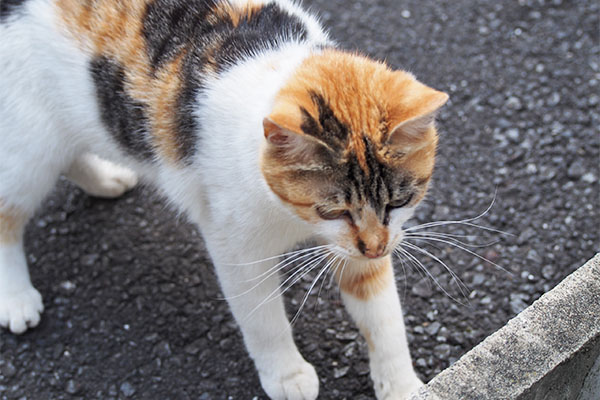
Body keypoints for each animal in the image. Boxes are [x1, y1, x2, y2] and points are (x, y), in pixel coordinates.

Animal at [0, 0, 448, 398]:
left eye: (398, 202)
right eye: (334, 209)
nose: (375, 247)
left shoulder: (362, 247)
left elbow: (384, 317)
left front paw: (403, 387)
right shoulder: (237, 249)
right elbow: (263, 318)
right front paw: (286, 374)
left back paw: (105, 178)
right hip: (28, 148)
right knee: (10, 208)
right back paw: (16, 298)